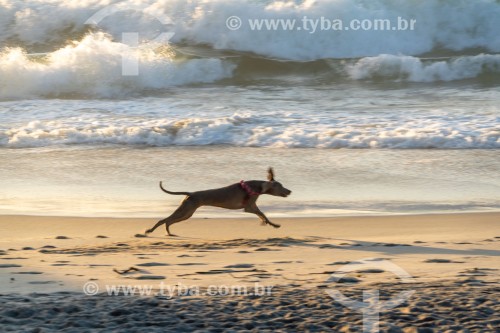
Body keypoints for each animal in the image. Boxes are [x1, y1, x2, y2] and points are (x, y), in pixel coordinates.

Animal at [145, 169, 292, 236]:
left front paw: (270, 224)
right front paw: (272, 224)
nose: (290, 191)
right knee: (164, 220)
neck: (256, 187)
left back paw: (168, 232)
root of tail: (190, 193)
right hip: (185, 211)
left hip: (187, 213)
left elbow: (263, 216)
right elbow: (264, 215)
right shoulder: (249, 207)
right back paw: (152, 230)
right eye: (281, 186)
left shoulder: (252, 206)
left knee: (168, 221)